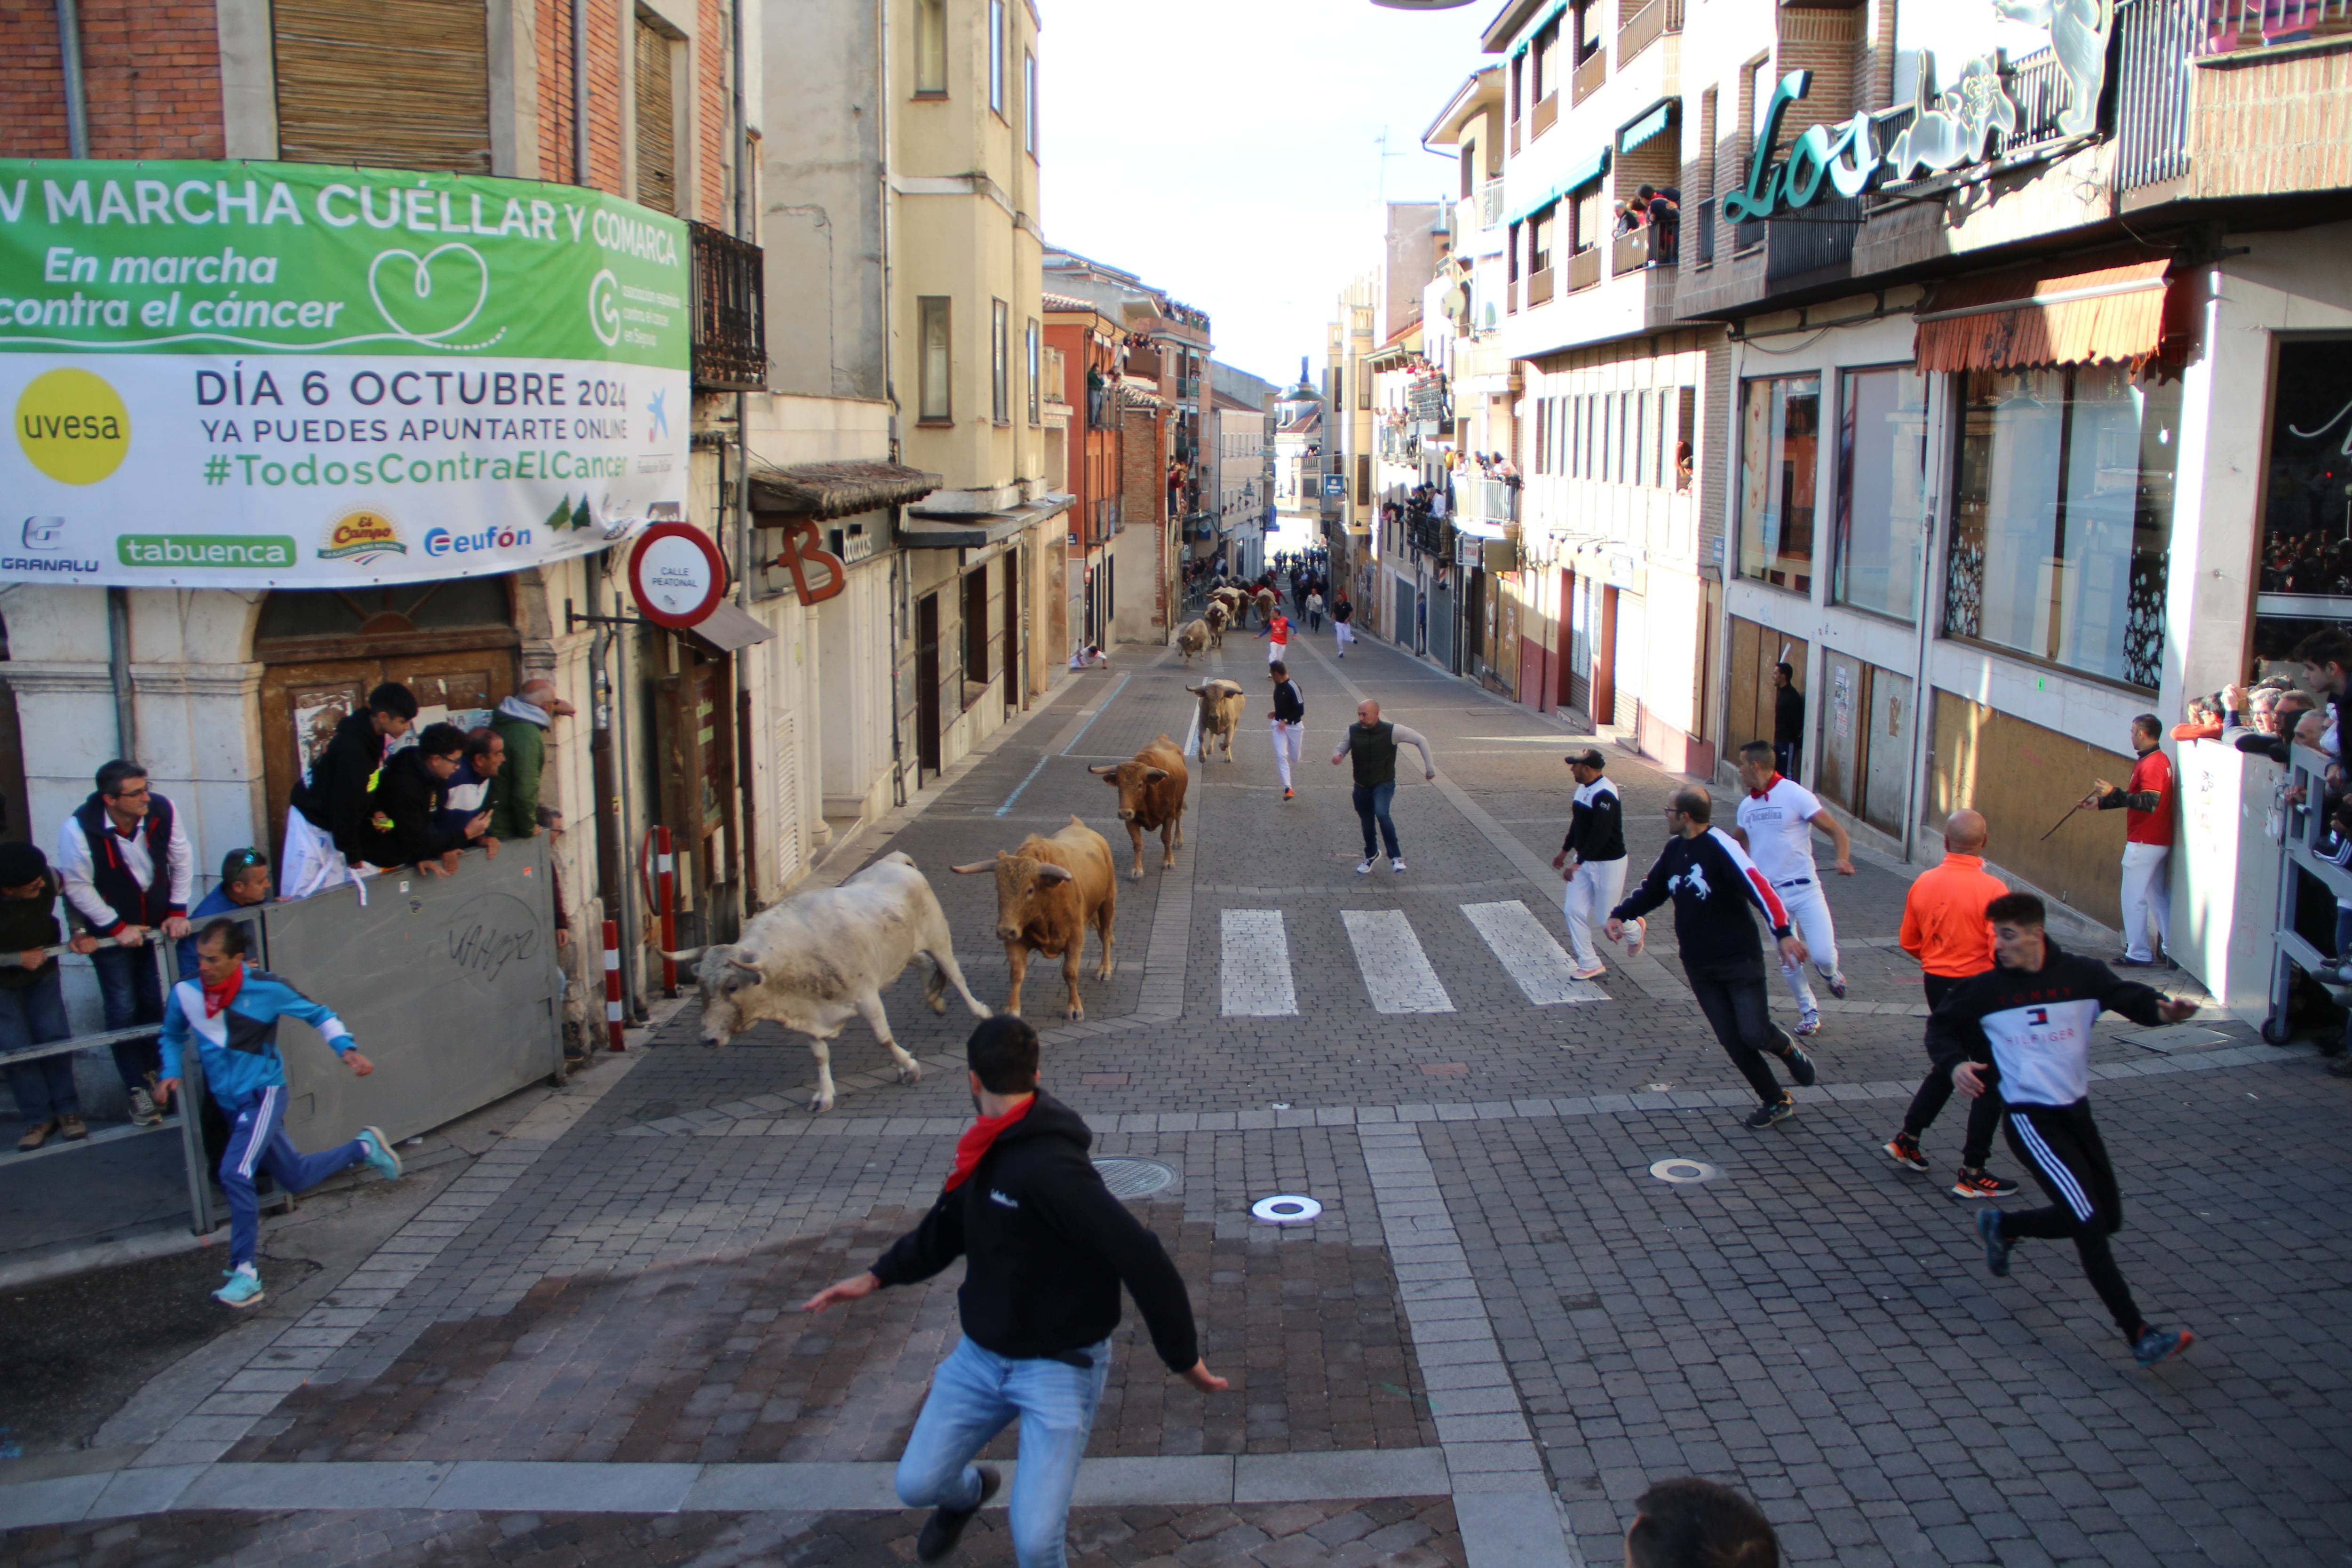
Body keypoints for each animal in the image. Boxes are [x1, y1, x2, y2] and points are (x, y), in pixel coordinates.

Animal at [668, 851, 988, 1109]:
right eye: (701, 988)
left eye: (732, 986)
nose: (708, 1039)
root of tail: (895, 861)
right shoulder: (809, 1012)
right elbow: (820, 1055)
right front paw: (824, 1095)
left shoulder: (867, 997)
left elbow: (883, 1038)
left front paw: (908, 1065)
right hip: (901, 949)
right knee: (923, 962)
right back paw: (935, 999)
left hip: (938, 936)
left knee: (955, 974)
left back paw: (979, 1010)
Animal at [950, 818, 1115, 1025]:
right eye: (998, 887)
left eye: (1029, 890)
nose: (1004, 930)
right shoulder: (1015, 939)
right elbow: (1016, 973)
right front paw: (1012, 1009)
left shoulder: (1075, 939)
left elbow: (1070, 972)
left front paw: (1074, 1008)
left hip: (1107, 902)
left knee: (1106, 935)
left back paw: (1104, 969)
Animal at [1087, 738, 1185, 883]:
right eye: (1119, 785)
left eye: (1140, 784)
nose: (1124, 813)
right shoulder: (1131, 820)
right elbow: (1138, 843)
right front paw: (1137, 870)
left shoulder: (1169, 816)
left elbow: (1166, 838)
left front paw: (1168, 861)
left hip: (1179, 803)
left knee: (1179, 817)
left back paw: (1178, 840)